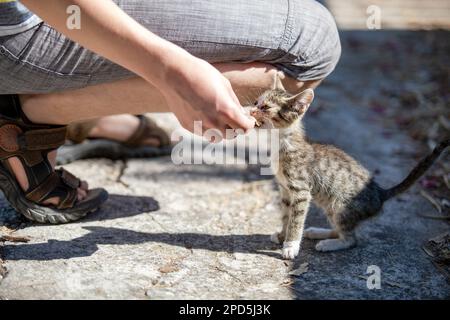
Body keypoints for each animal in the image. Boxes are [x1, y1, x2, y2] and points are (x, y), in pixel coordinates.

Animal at [250, 75, 450, 260]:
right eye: (255, 102)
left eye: (265, 107)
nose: (251, 110)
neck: (280, 141)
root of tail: (380, 193)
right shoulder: (284, 190)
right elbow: (286, 215)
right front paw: (282, 235)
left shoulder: (301, 192)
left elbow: (295, 220)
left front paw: (290, 245)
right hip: (332, 207)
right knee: (340, 230)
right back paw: (319, 232)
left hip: (340, 206)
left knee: (351, 240)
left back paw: (328, 244)